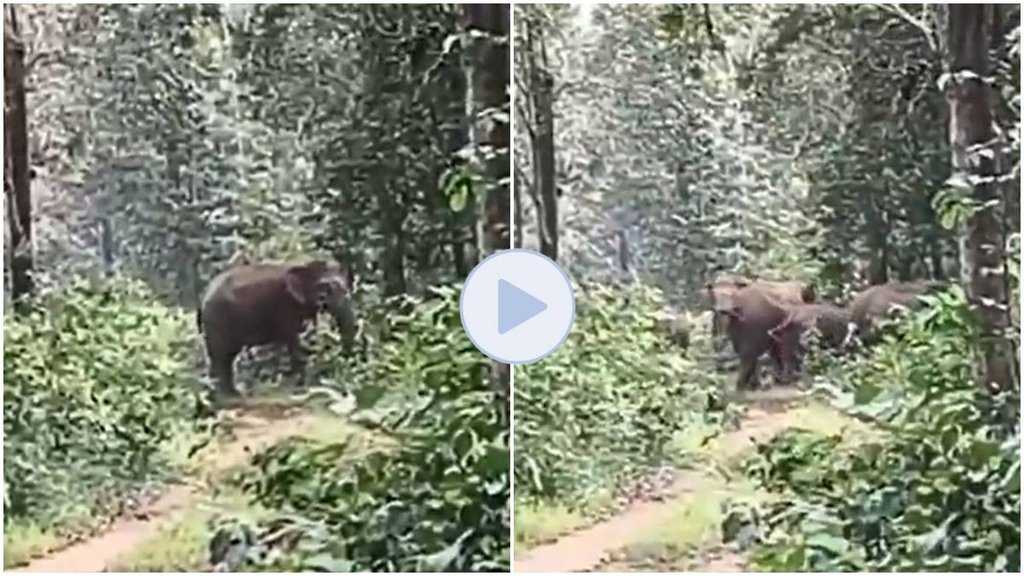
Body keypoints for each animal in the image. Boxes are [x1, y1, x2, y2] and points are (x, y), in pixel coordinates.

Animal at [197, 260, 357, 402]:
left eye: (345, 288)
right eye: (324, 289)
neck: (304, 265)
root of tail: (203, 296)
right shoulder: (285, 307)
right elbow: (292, 340)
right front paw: (301, 387)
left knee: (226, 357)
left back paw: (226, 394)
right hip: (217, 321)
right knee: (220, 355)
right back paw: (221, 396)